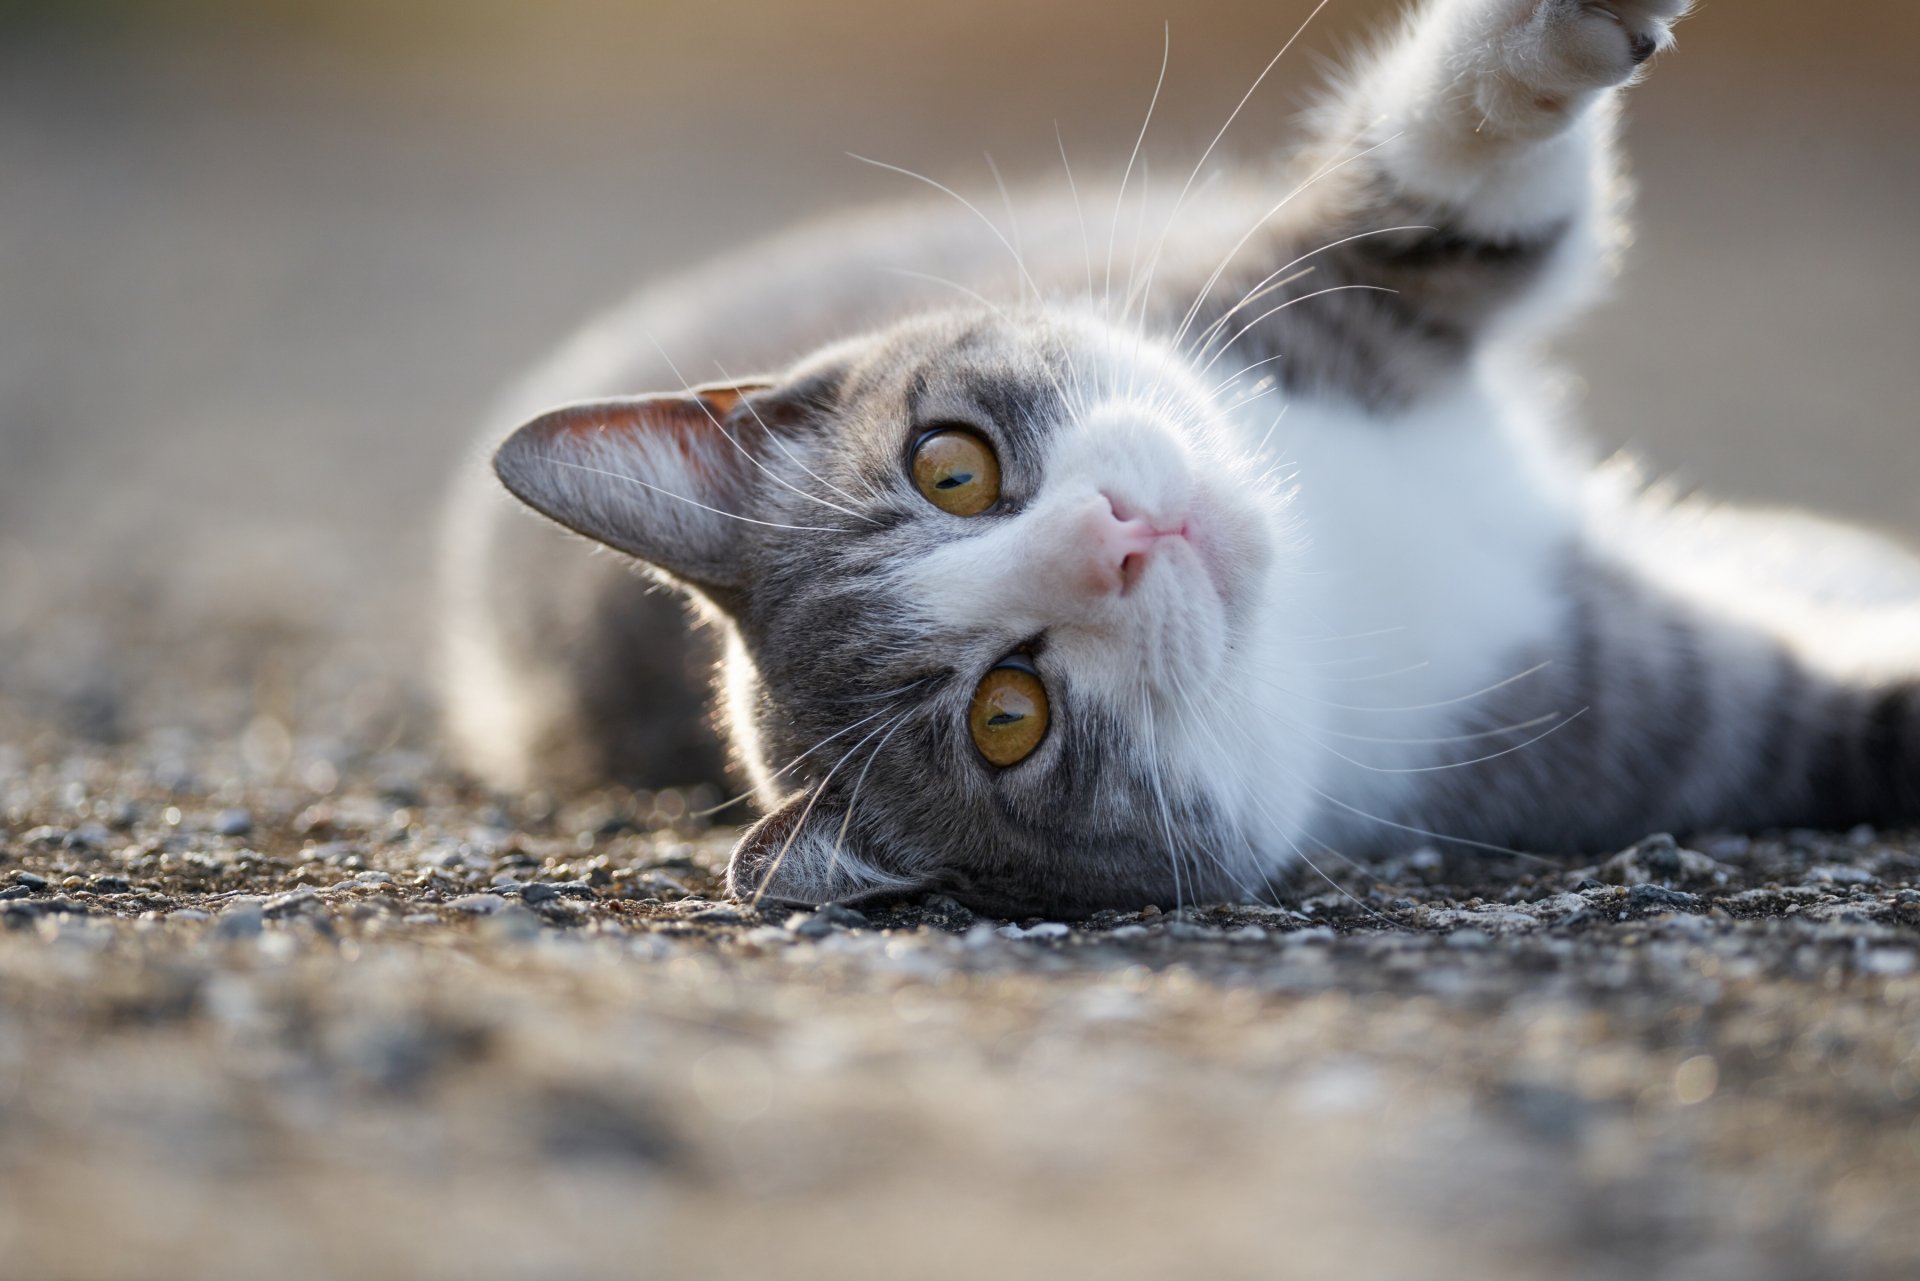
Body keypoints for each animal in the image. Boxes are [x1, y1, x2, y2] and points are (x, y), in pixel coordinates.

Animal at [435, 2, 1920, 921]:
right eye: (1009, 716)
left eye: (950, 466)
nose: (1121, 537)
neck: (1331, 566)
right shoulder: (1606, 723)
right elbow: (1848, 724)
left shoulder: (1292, 295)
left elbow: (1451, 176)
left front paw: (1549, 39)